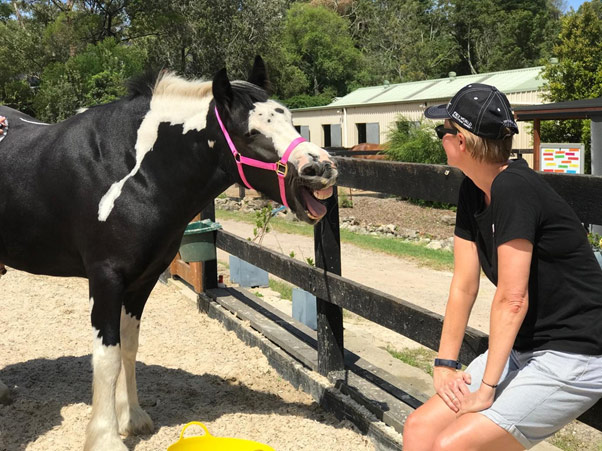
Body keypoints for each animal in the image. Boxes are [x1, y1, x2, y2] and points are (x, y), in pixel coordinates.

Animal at [0, 58, 336, 450]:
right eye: (250, 133)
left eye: (290, 119)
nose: (320, 168)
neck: (125, 168)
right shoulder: (105, 279)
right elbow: (107, 357)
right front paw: (106, 437)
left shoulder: (141, 281)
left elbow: (129, 347)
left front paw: (132, 418)